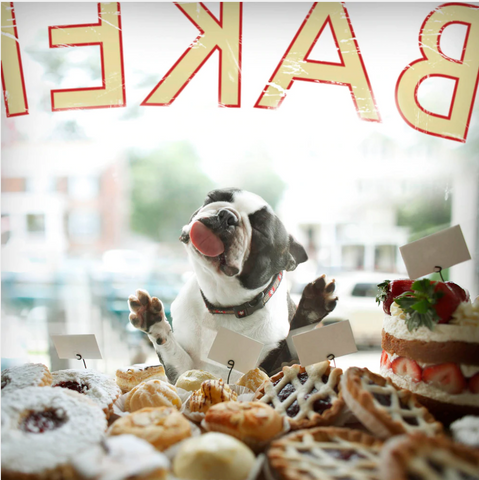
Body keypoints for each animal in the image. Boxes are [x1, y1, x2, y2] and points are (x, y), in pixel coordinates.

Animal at [127, 189, 338, 380]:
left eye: (260, 230)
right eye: (213, 197)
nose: (227, 215)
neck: (223, 307)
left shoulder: (268, 369)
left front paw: (311, 310)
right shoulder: (182, 370)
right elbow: (169, 348)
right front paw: (151, 318)